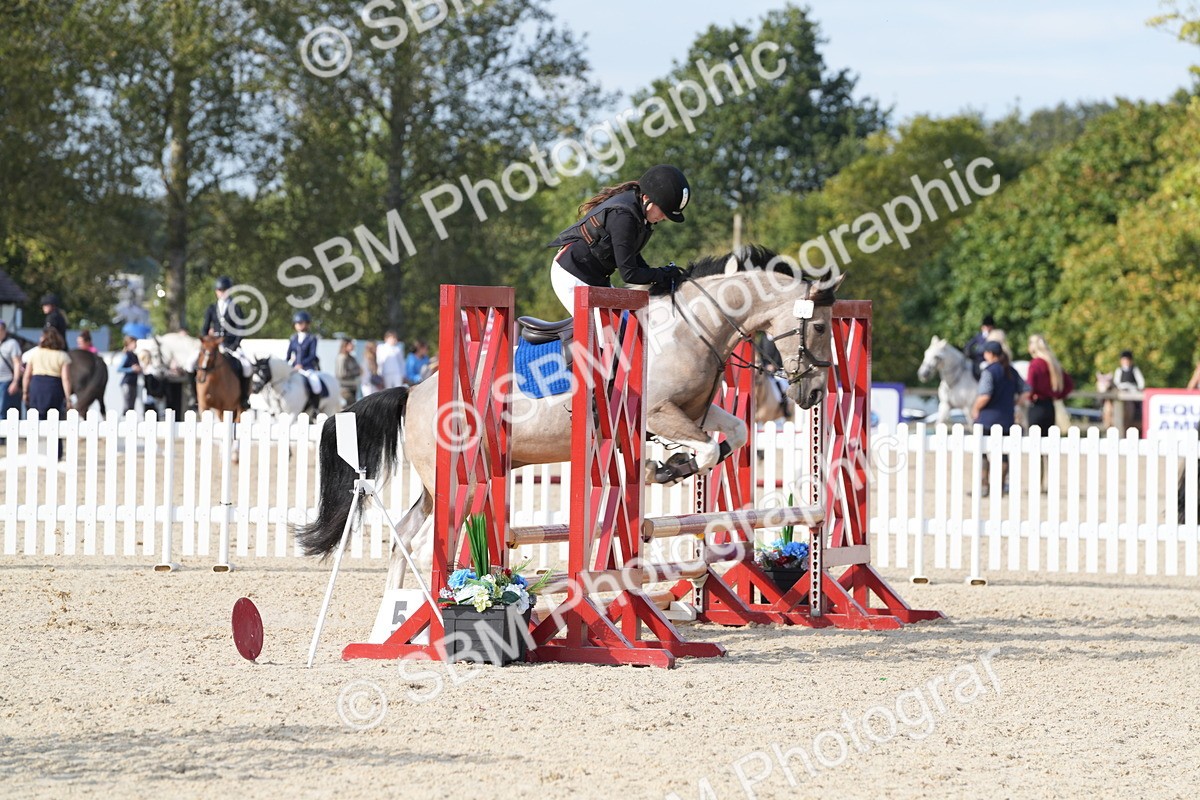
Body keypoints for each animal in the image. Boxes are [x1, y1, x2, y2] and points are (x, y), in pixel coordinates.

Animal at [295, 245, 844, 588]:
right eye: (818, 326)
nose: (814, 392)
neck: (693, 327)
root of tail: (414, 391)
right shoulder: (658, 411)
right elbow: (707, 448)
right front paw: (665, 466)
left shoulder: (693, 409)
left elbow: (732, 434)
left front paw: (671, 463)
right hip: (457, 480)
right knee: (434, 540)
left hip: (439, 485)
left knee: (404, 537)